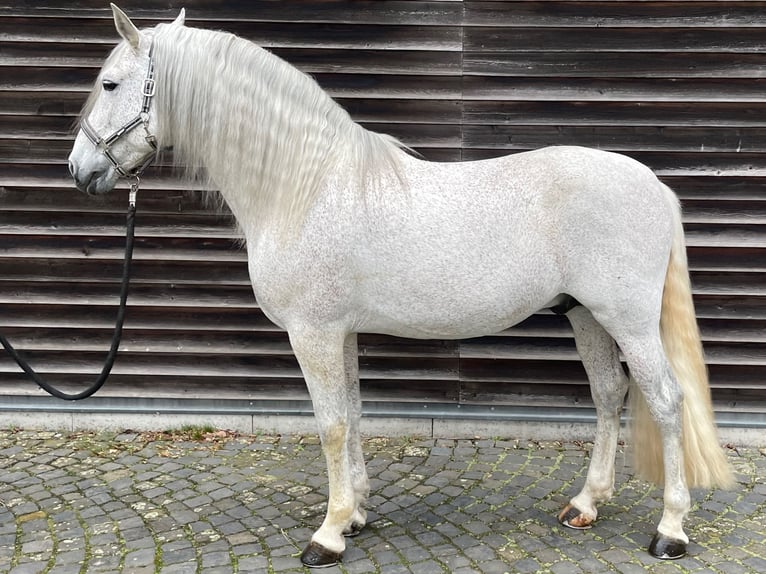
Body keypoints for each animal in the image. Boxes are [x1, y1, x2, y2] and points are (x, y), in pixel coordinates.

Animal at [69, 5, 736, 572]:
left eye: (110, 84)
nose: (80, 170)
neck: (306, 187)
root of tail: (653, 184)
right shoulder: (340, 333)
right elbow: (354, 414)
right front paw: (356, 514)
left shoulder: (313, 333)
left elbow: (331, 423)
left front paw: (328, 534)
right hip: (586, 316)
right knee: (607, 395)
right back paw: (585, 505)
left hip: (627, 320)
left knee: (666, 400)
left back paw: (670, 530)